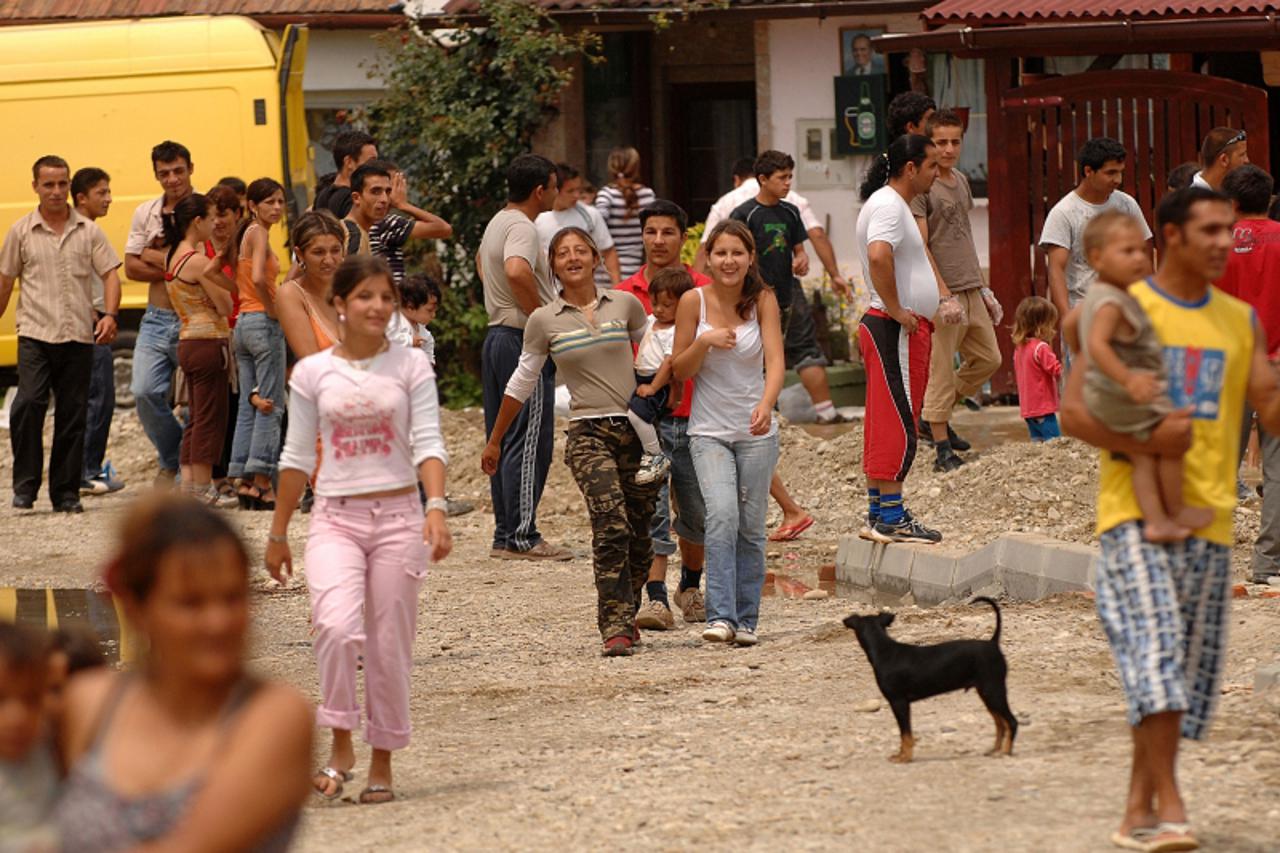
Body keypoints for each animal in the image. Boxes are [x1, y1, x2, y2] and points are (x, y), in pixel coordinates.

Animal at [844, 594, 1013, 758]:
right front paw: (902, 755)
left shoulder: (899, 702)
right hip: (987, 693)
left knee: (1011, 721)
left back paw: (1005, 752)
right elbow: (905, 734)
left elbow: (906, 734)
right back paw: (995, 750)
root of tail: (992, 643)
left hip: (993, 691)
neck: (884, 651)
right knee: (1000, 723)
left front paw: (904, 757)